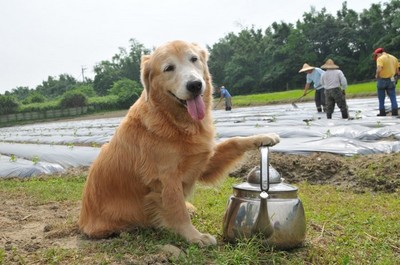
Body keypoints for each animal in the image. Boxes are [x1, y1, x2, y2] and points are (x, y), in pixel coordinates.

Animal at [77, 39, 278, 245]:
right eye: (168, 68)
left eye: (194, 59)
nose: (195, 85)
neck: (176, 122)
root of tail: (84, 222)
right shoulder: (167, 177)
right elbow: (178, 210)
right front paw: (195, 236)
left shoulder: (202, 162)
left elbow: (233, 141)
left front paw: (264, 137)